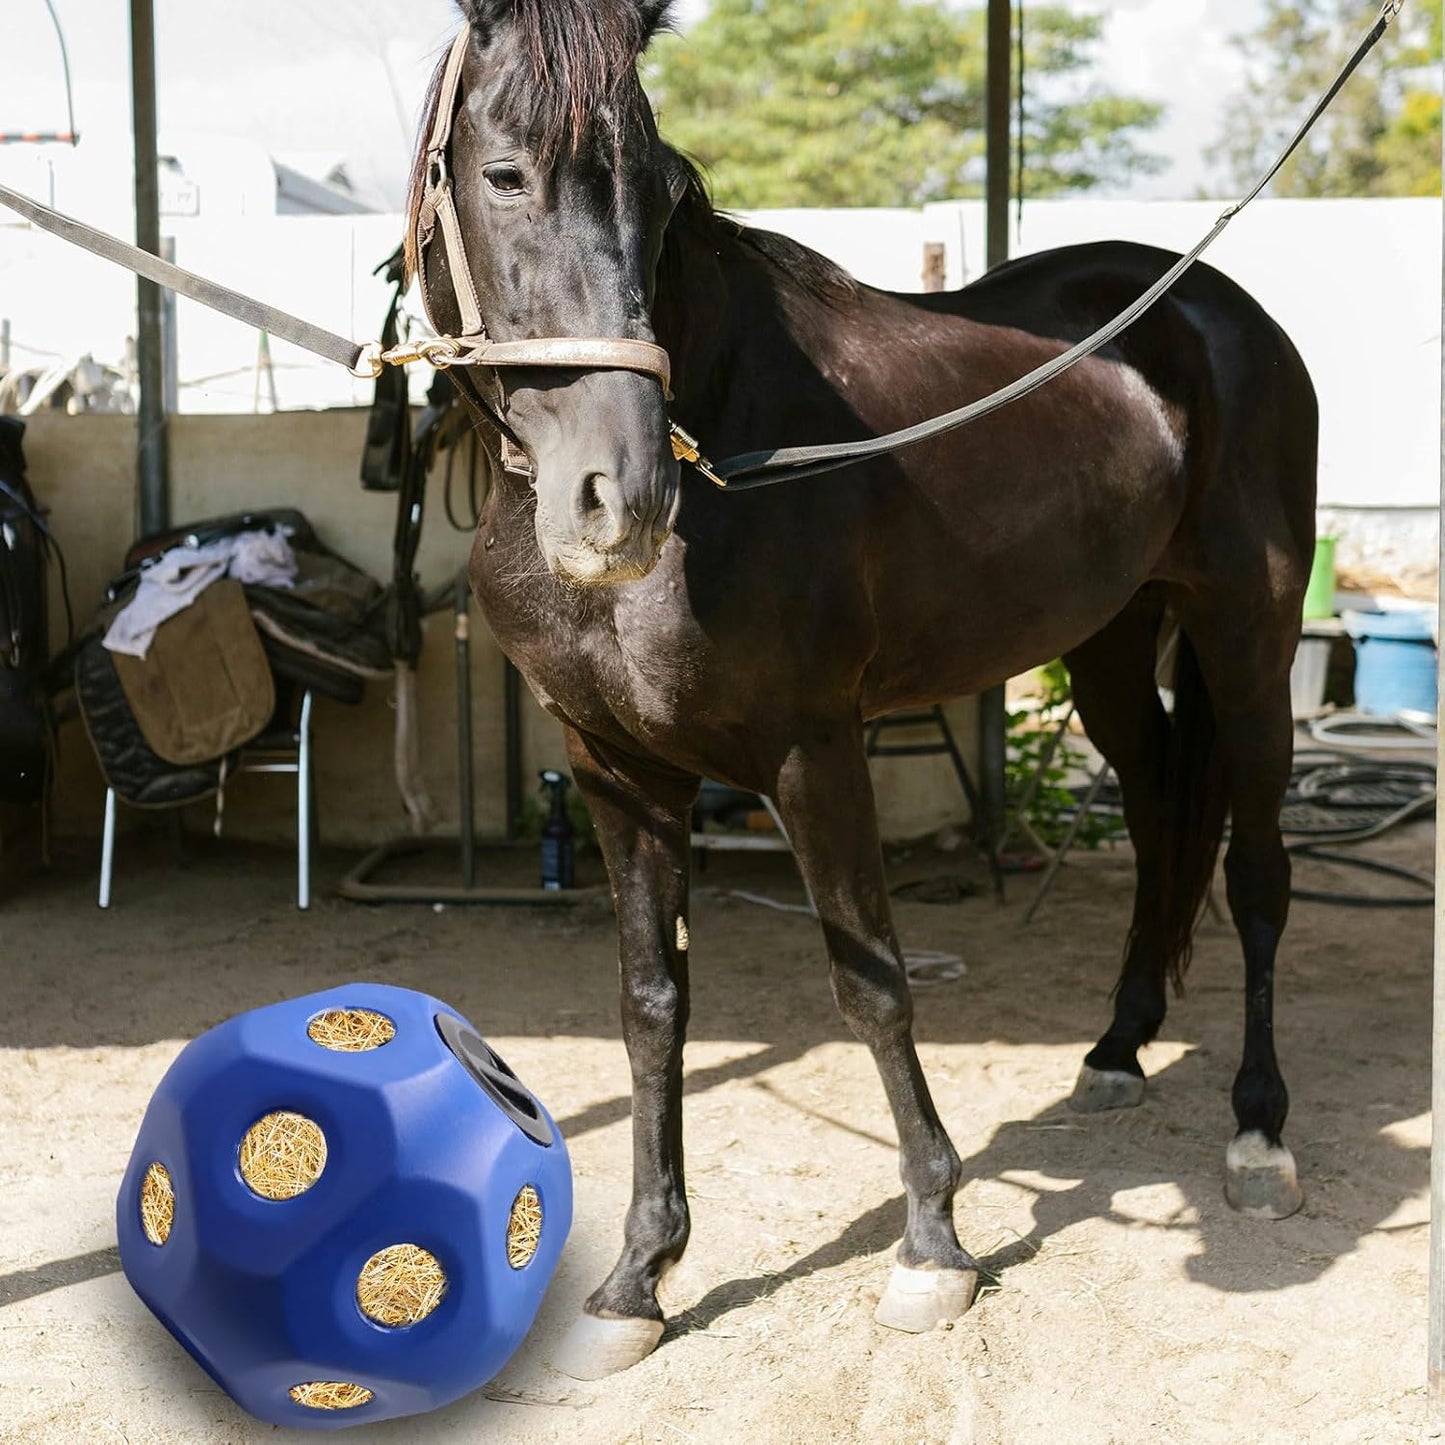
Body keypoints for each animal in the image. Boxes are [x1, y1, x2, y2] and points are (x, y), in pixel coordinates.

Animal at [409, 0, 1318, 1378]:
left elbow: (873, 984)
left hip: (1247, 634)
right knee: (1164, 812)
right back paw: (1115, 1049)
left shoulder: (811, 752)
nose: (619, 494)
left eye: (663, 191)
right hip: (1108, 646)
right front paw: (635, 1278)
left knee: (1256, 871)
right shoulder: (619, 771)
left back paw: (1256, 1130)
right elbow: (650, 1005)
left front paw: (932, 1247)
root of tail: (1216, 311)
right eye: (504, 174)